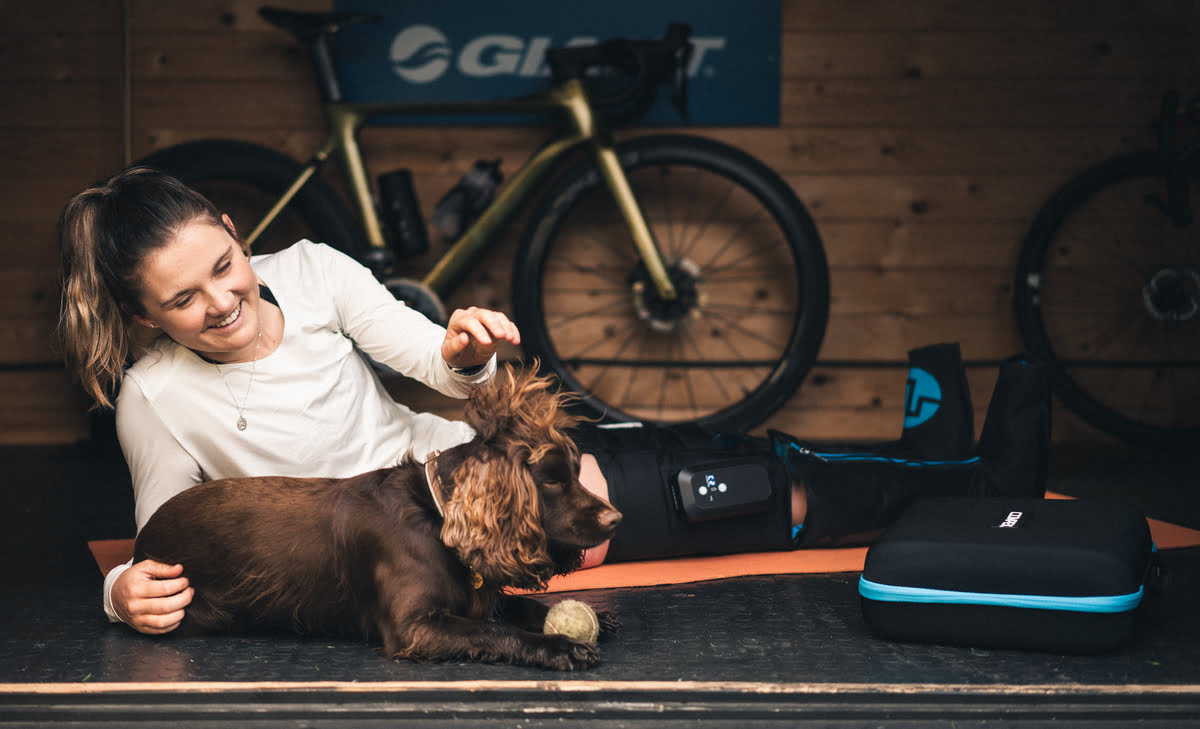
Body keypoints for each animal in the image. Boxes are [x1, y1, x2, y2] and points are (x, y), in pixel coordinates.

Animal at [136, 366, 624, 671]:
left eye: (575, 472)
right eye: (552, 480)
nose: (616, 518)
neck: (435, 518)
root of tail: (143, 537)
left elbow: (519, 606)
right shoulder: (414, 628)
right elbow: (491, 630)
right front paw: (560, 646)